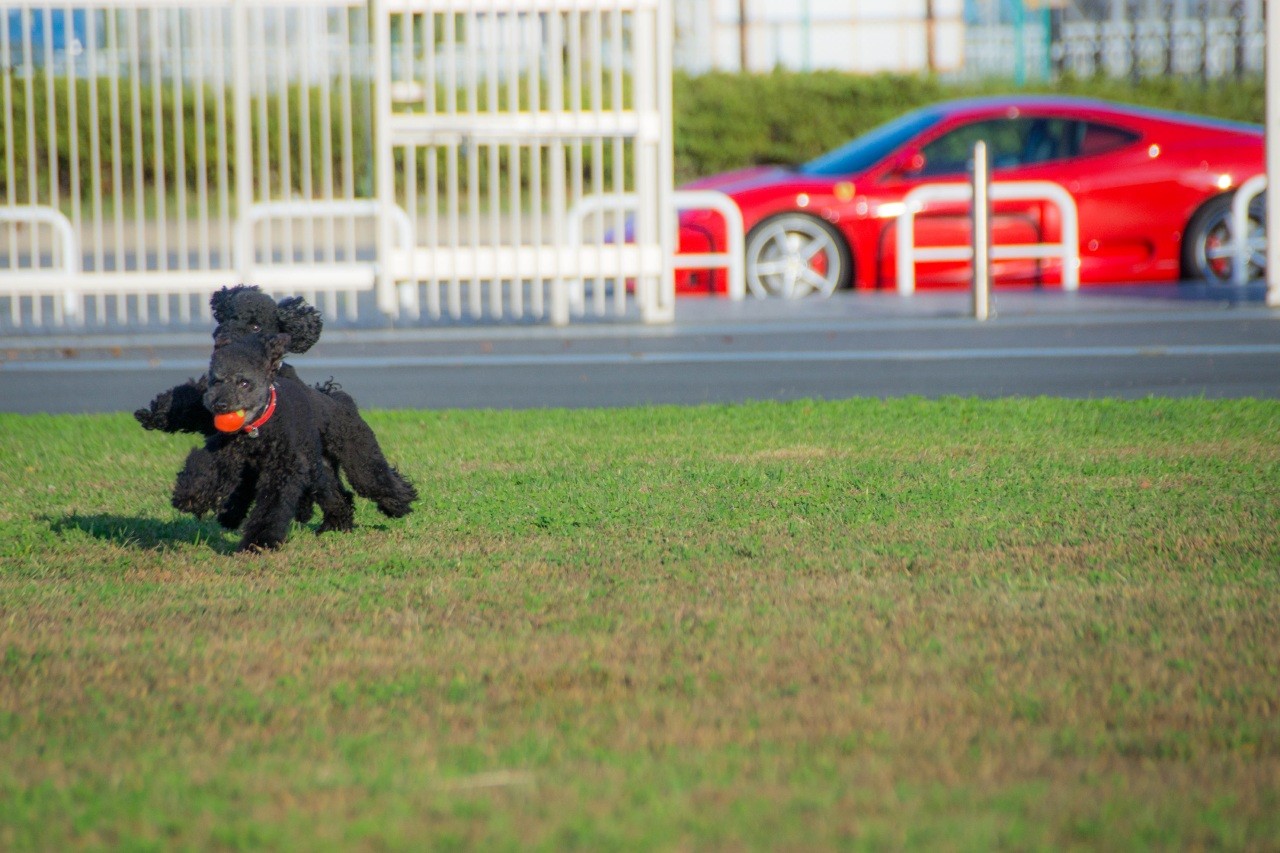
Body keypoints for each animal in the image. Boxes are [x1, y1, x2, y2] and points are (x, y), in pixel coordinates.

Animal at [171, 332, 415, 552]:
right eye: (216, 380)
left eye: (244, 383)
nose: (220, 405)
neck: (258, 428)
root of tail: (332, 397)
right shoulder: (226, 453)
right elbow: (204, 467)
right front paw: (190, 496)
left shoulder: (282, 468)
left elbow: (272, 506)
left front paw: (258, 542)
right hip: (319, 469)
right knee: (336, 495)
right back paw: (336, 524)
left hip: (356, 450)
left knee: (372, 479)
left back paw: (399, 503)